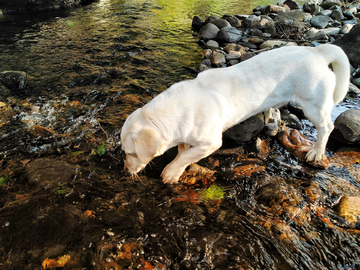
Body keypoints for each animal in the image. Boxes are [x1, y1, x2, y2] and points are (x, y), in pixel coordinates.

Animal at [120, 43, 348, 184]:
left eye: (132, 153)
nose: (124, 170)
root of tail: (317, 52)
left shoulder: (211, 143)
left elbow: (185, 156)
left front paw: (171, 172)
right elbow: (183, 150)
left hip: (313, 105)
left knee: (326, 127)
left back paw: (317, 151)